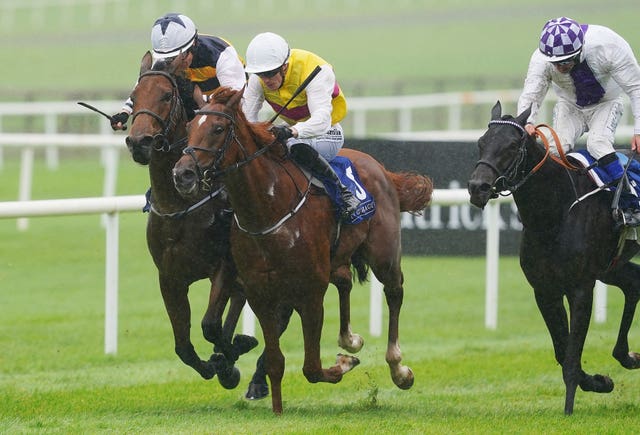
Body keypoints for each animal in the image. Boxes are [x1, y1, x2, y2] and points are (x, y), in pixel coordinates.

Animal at [124, 52, 256, 390]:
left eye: (165, 95)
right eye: (133, 97)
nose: (139, 142)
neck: (180, 205)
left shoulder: (223, 265)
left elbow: (210, 324)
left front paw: (230, 358)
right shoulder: (169, 277)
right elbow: (183, 345)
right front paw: (218, 363)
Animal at [170, 86, 432, 416]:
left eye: (218, 129)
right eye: (190, 127)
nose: (183, 174)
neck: (268, 209)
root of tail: (382, 169)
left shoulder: (310, 291)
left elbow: (312, 367)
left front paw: (344, 364)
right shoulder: (260, 292)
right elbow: (275, 360)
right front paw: (277, 409)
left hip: (384, 254)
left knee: (394, 292)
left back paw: (398, 368)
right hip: (336, 258)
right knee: (344, 281)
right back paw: (350, 339)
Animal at [464, 101, 640, 416]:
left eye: (511, 145)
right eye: (481, 143)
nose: (477, 187)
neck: (554, 213)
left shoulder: (581, 288)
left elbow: (571, 354)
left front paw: (569, 409)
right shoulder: (545, 290)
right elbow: (562, 351)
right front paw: (600, 381)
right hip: (610, 266)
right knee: (635, 283)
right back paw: (628, 355)